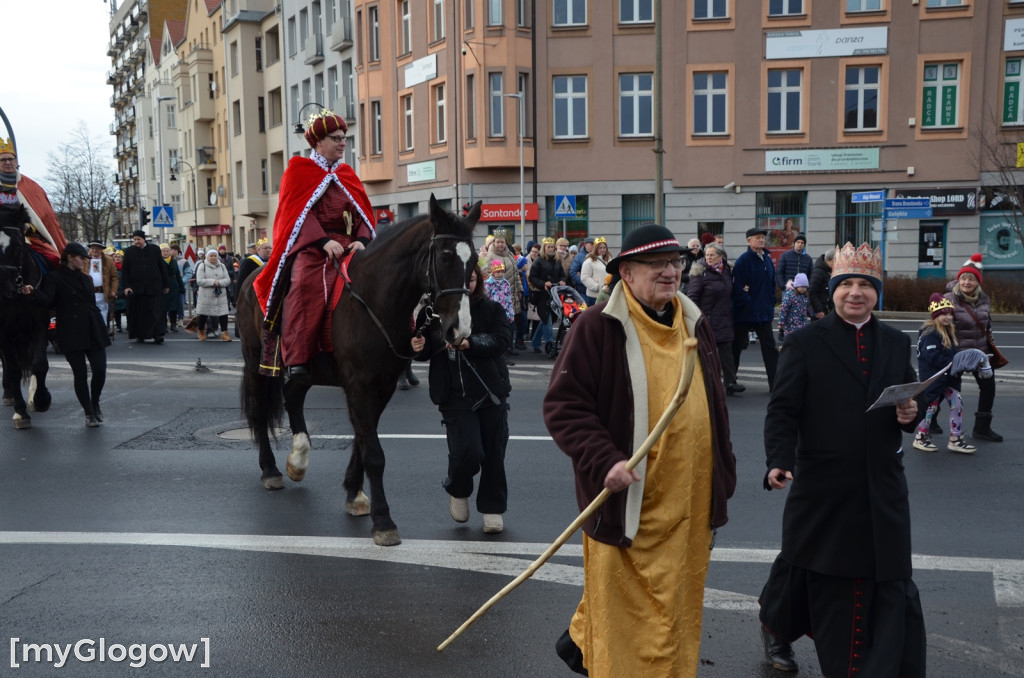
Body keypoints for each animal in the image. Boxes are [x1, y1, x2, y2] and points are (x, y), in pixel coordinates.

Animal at [237, 195, 481, 548]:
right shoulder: (359, 385)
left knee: (292, 395)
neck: (374, 299)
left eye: (473, 259)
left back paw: (298, 458)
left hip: (306, 368)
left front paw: (354, 493)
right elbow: (374, 453)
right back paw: (270, 470)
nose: (458, 330)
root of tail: (251, 277)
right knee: (258, 411)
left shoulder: (381, 386)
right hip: (256, 358)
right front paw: (383, 520)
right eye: (446, 257)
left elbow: (362, 440)